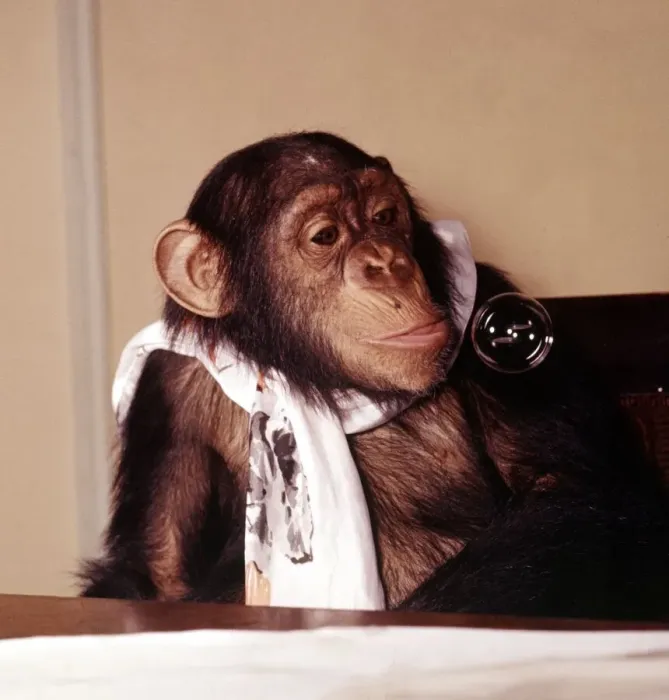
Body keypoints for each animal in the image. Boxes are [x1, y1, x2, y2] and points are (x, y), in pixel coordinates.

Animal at [79, 131, 669, 621]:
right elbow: (158, 575)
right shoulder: (167, 384)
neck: (322, 382)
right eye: (325, 236)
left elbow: (574, 492)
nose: (388, 262)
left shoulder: (501, 322)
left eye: (385, 216)